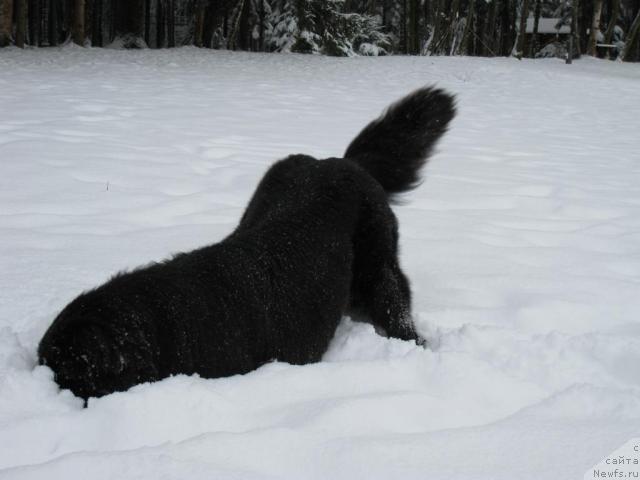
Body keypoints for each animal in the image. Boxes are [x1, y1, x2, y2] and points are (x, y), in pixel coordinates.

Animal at [37, 84, 456, 400]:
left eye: (69, 372)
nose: (47, 388)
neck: (160, 324)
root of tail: (343, 162)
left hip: (379, 269)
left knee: (396, 307)